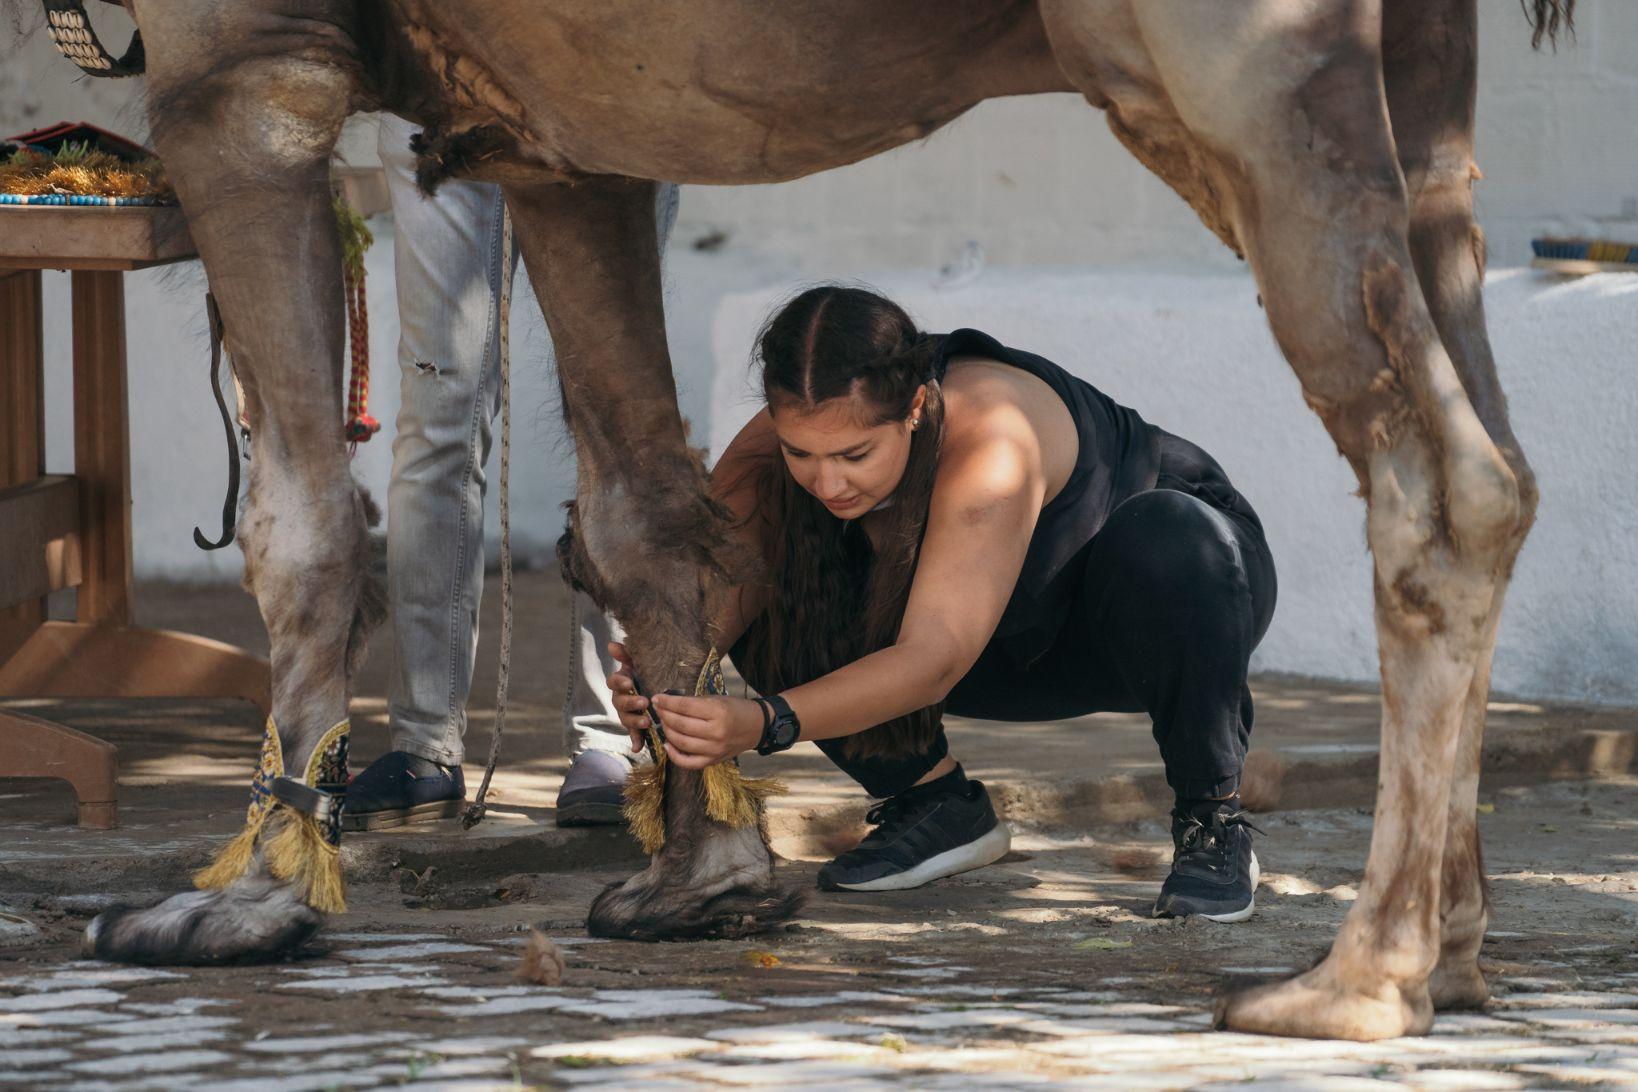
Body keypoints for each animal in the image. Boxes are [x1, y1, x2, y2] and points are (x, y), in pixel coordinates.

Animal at [63, 0, 1565, 1041]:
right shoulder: (556, 133)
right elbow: (642, 519)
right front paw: (706, 881)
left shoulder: (244, 67)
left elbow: (302, 523)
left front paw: (239, 900)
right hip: (1424, 92)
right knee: (1498, 437)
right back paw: (1453, 957)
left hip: (1230, 64)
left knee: (1435, 487)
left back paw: (1354, 981)